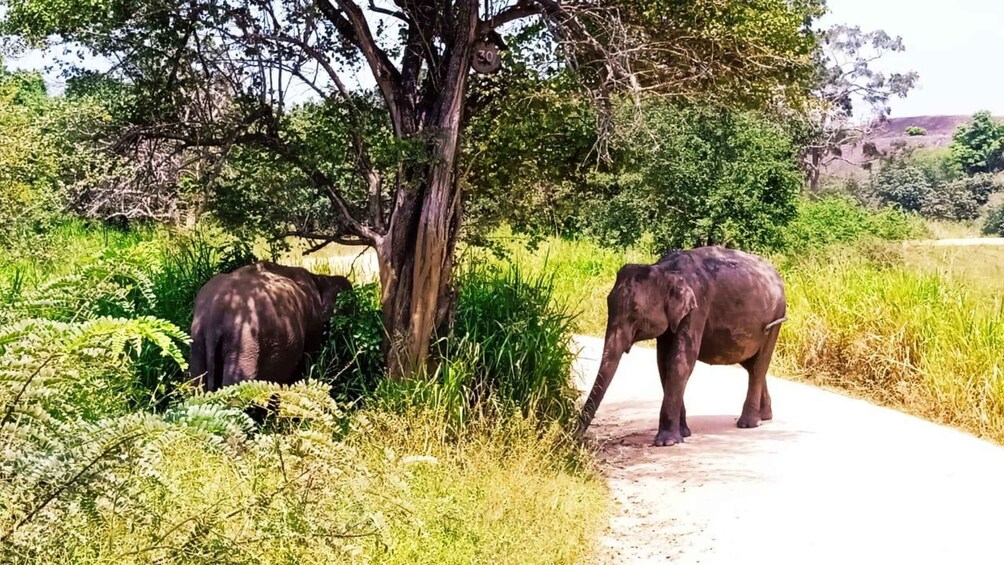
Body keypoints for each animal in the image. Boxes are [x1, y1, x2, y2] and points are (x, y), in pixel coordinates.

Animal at [189, 261, 352, 392]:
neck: (317, 278)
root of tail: (215, 315)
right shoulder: (313, 321)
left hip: (198, 338)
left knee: (196, 380)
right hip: (244, 343)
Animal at [578, 246, 787, 447]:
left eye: (635, 312)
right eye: (608, 303)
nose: (576, 438)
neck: (665, 270)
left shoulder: (697, 307)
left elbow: (680, 361)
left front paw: (667, 442)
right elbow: (663, 363)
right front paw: (684, 433)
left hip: (776, 320)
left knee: (759, 365)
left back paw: (749, 423)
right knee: (751, 364)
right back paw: (765, 416)